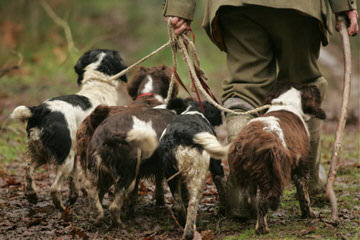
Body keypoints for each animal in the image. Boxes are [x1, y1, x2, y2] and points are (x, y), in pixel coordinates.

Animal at [9, 49, 129, 212]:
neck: (97, 87)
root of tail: (41, 110)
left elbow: (75, 178)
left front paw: (76, 196)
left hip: (42, 152)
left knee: (28, 170)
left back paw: (32, 195)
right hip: (65, 157)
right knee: (54, 188)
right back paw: (62, 209)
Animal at [228, 82, 326, 234]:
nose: (315, 87)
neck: (285, 104)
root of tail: (247, 143)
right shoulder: (301, 165)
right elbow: (304, 195)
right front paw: (309, 214)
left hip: (249, 179)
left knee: (252, 199)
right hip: (271, 176)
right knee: (263, 202)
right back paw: (263, 229)